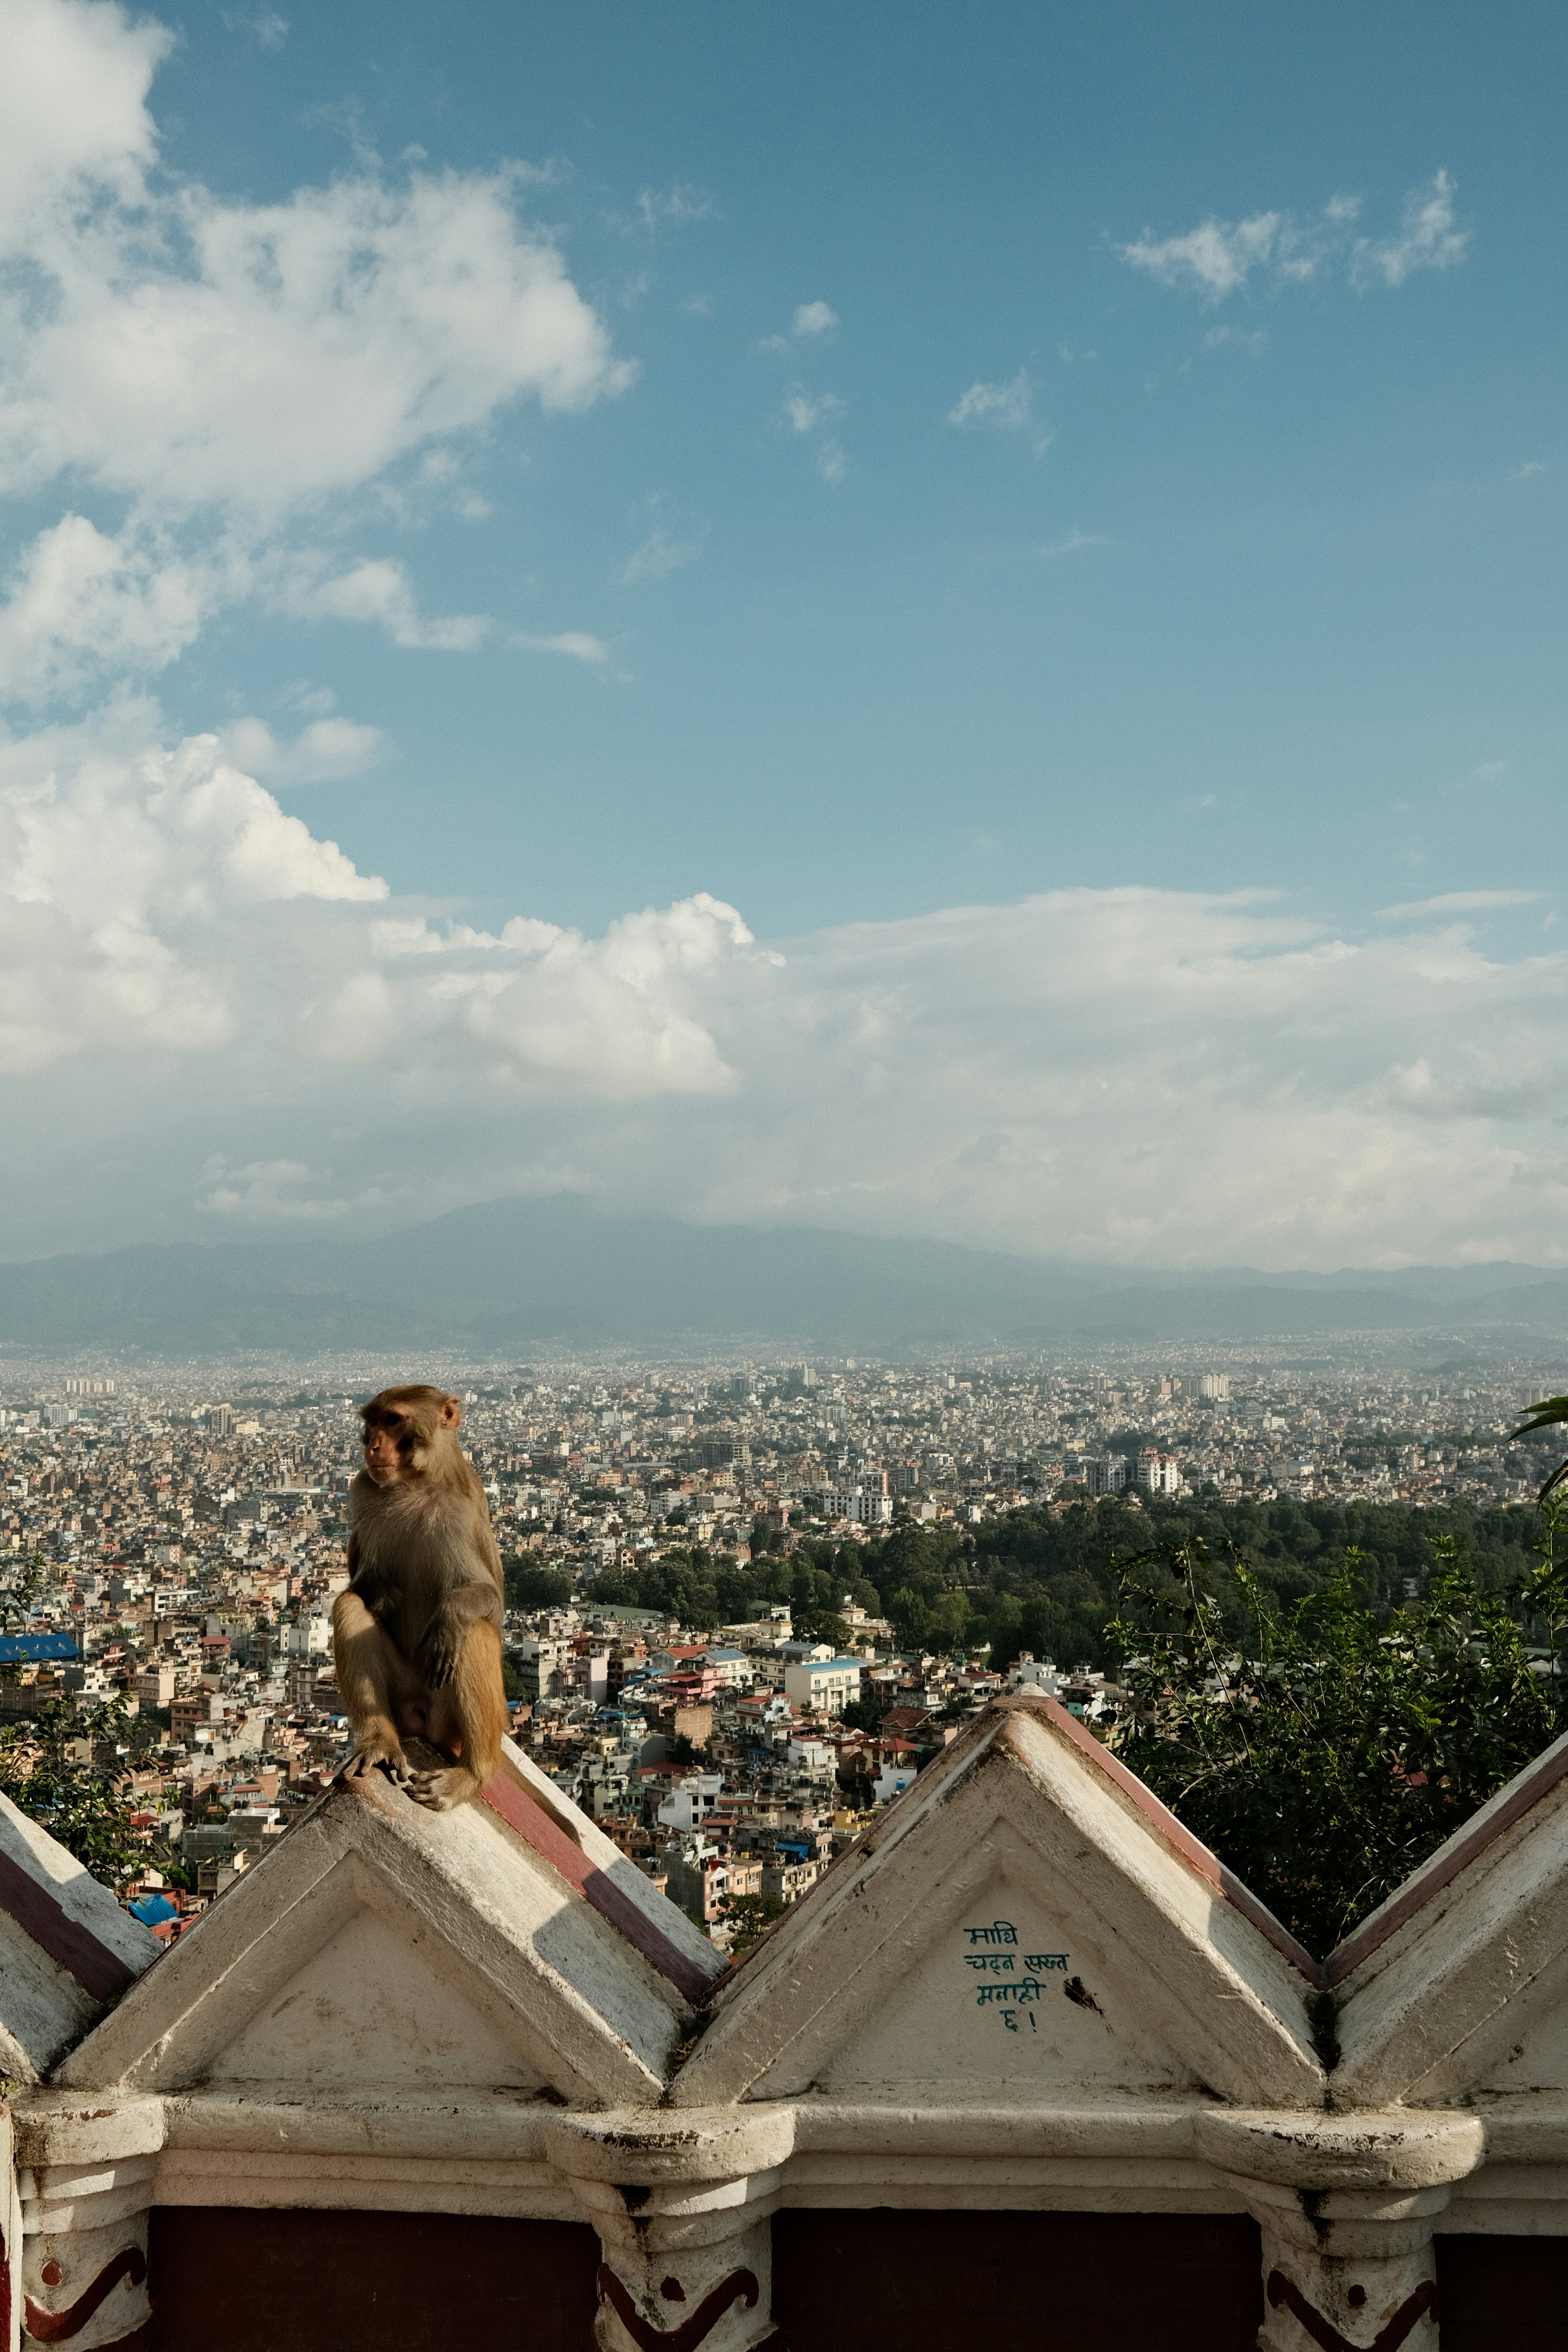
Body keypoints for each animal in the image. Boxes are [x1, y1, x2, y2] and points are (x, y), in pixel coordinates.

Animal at [332, 1384, 508, 1812]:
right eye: (372, 1422)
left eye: (393, 1421)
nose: (373, 1446)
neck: (415, 1482)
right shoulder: (362, 1491)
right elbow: (360, 1585)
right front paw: (380, 1593)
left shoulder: (463, 1512)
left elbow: (492, 1601)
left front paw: (450, 1617)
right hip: (401, 1700)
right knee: (348, 1605)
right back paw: (380, 1742)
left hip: (447, 1714)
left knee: (474, 1631)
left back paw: (472, 1774)